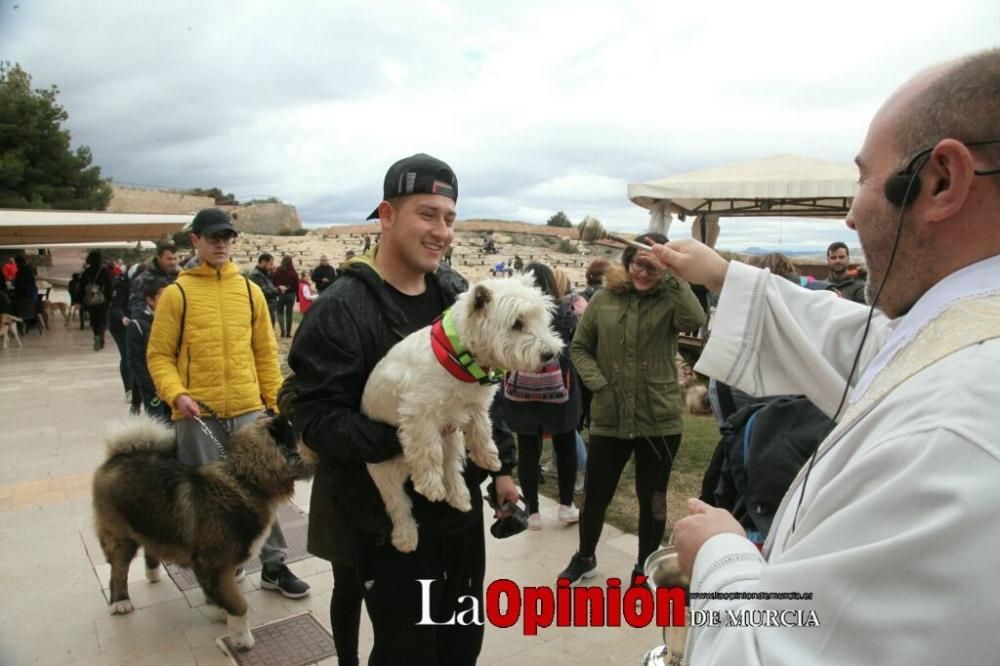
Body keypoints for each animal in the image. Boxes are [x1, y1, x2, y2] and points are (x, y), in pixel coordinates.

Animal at [94, 412, 314, 644]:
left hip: (152, 523)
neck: (243, 480)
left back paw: (152, 574)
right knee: (118, 569)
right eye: (294, 431)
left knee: (149, 548)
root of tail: (118, 456)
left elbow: (225, 594)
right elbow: (238, 603)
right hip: (120, 535)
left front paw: (221, 611)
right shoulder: (214, 563)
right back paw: (120, 602)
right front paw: (242, 637)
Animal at [360, 274, 568, 548]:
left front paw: (489, 457)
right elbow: (427, 451)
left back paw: (459, 497)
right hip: (383, 471)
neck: (459, 358)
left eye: (540, 318)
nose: (550, 353)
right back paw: (406, 537)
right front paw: (430, 485)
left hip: (452, 440)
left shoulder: (473, 406)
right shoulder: (420, 413)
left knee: (451, 467)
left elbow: (482, 430)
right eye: (516, 323)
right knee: (398, 503)